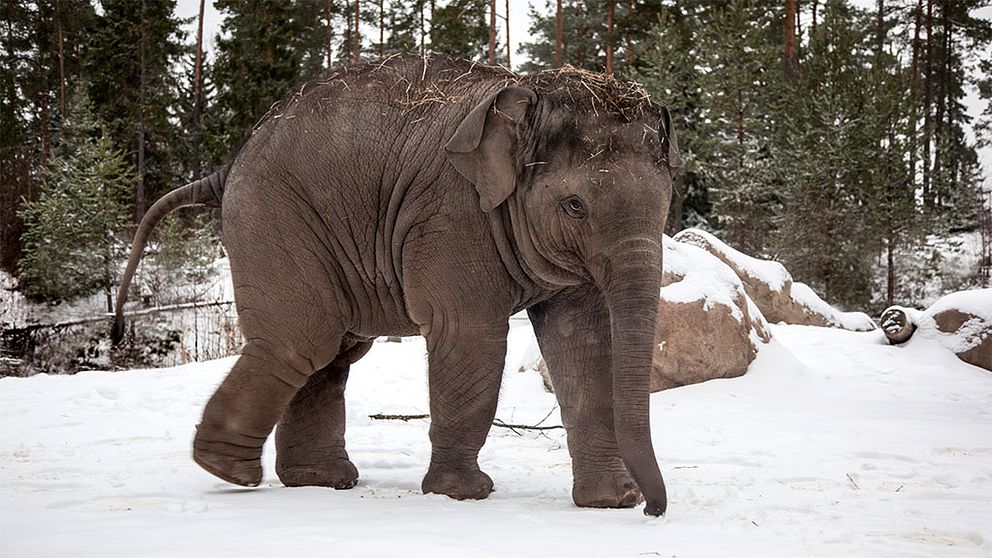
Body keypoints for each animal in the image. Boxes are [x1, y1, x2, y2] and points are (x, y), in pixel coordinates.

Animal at [110, 54, 680, 520]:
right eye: (574, 205)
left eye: (666, 203)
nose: (654, 511)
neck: (520, 98)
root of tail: (227, 166)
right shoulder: (451, 215)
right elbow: (470, 336)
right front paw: (463, 494)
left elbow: (581, 345)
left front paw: (610, 502)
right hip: (275, 216)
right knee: (302, 342)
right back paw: (229, 472)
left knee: (330, 354)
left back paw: (320, 482)